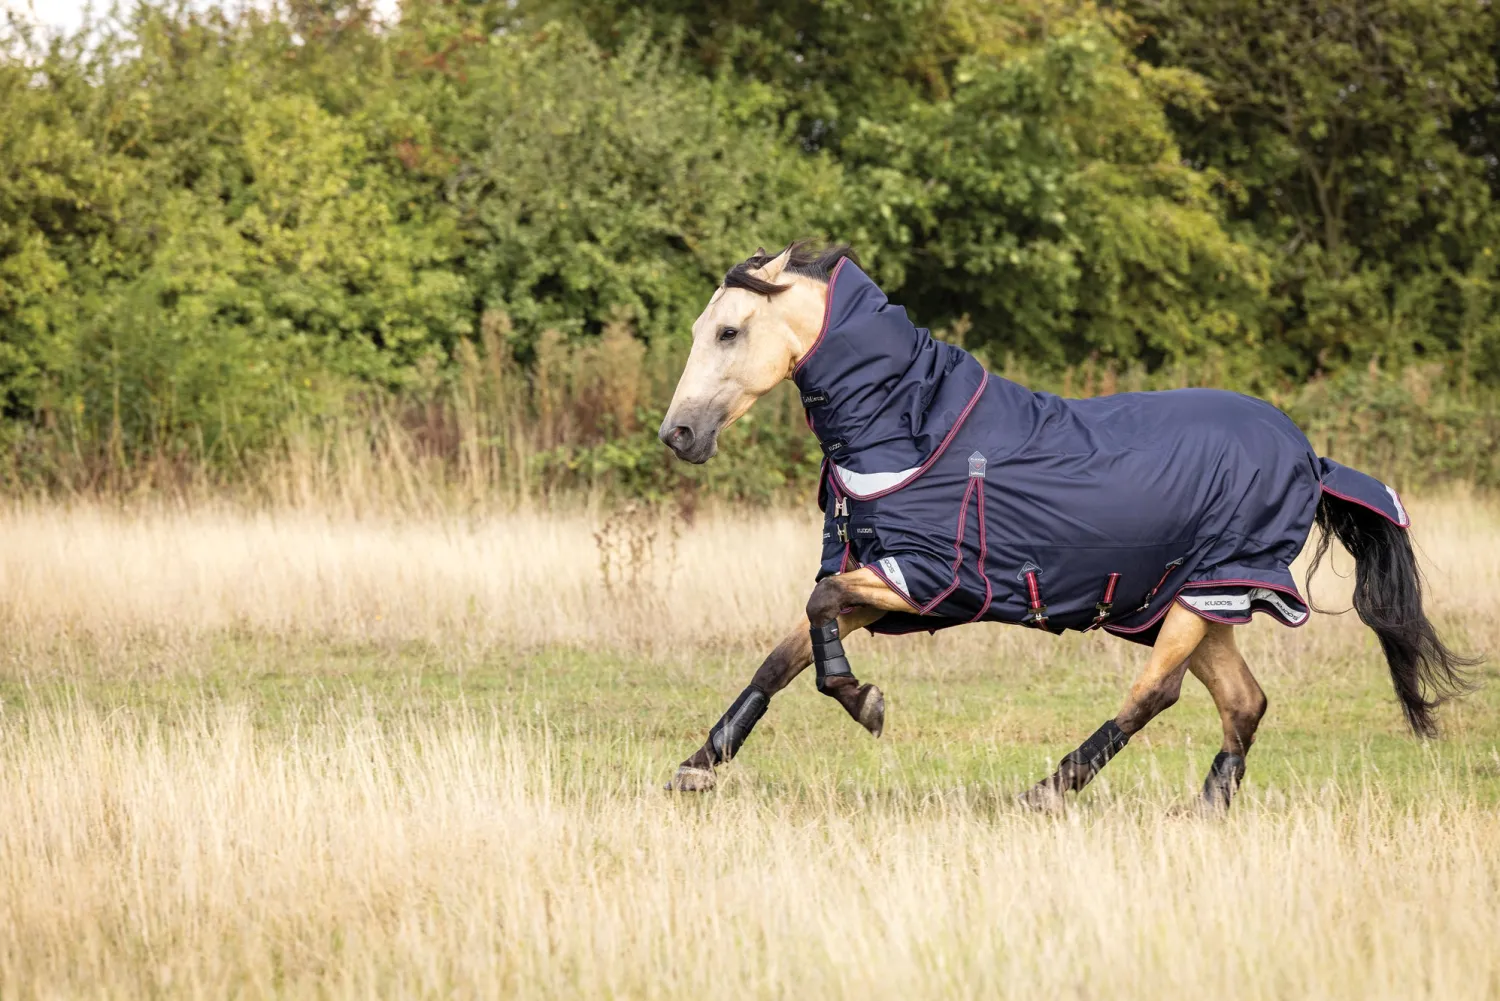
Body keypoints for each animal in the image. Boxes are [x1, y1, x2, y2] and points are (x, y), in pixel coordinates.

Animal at [657, 242, 1475, 809]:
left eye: (728, 331)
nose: (679, 434)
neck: (914, 427)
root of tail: (1309, 454)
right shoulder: (881, 578)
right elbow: (782, 653)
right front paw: (698, 767)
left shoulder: (924, 578)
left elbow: (816, 609)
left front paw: (866, 703)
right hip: (1200, 598)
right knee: (1242, 701)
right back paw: (1207, 807)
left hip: (1206, 594)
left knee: (1155, 694)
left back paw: (1050, 788)